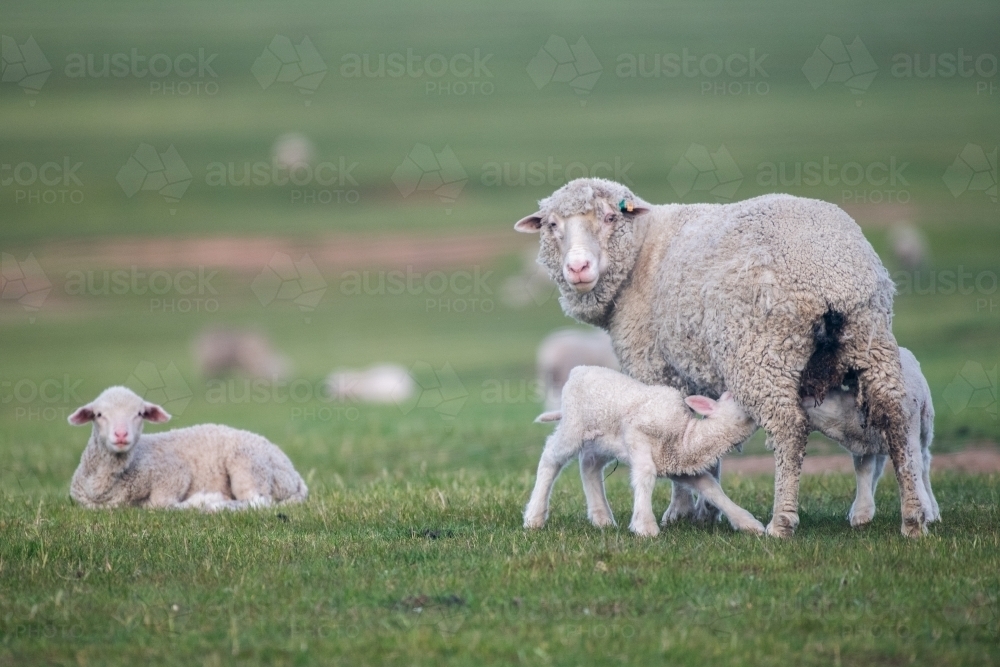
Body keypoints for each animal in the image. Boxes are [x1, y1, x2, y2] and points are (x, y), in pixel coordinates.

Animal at [68, 386, 306, 512]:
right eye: (98, 414)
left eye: (140, 414)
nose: (121, 434)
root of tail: (294, 474)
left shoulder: (173, 472)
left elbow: (160, 504)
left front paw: (204, 500)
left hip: (249, 466)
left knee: (258, 502)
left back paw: (216, 506)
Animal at [520, 368, 760, 536]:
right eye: (731, 397)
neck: (685, 435)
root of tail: (576, 371)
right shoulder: (638, 434)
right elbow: (645, 473)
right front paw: (645, 526)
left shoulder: (678, 466)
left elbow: (711, 488)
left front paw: (747, 522)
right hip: (574, 425)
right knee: (551, 456)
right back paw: (534, 516)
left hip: (602, 440)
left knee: (589, 465)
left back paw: (602, 518)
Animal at [804, 344, 936, 528]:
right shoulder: (863, 447)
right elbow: (864, 471)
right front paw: (861, 513)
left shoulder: (907, 436)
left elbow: (913, 467)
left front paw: (924, 510)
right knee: (878, 469)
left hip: (925, 422)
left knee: (924, 461)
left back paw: (933, 509)